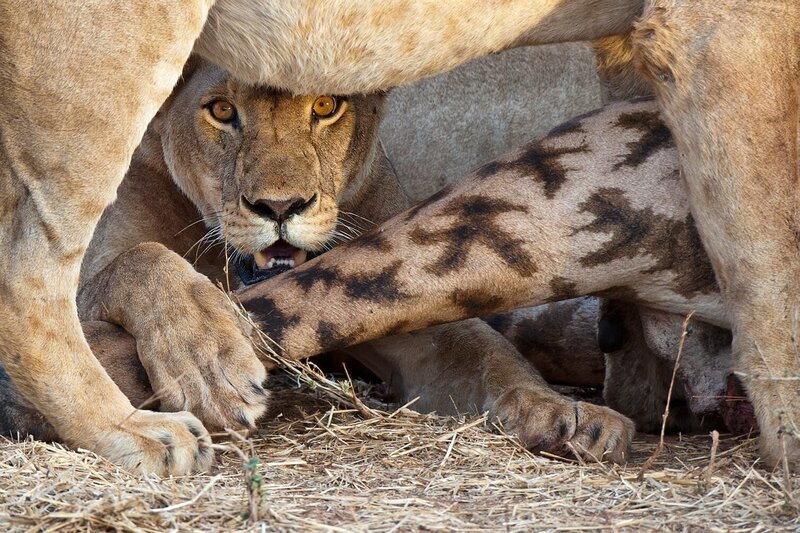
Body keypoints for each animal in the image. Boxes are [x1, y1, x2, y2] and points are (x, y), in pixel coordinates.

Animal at [2, 0, 796, 473]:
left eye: (327, 107)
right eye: (221, 111)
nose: (280, 205)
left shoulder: (405, 305)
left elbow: (484, 349)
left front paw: (563, 412)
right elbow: (139, 260)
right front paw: (205, 360)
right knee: (29, 275)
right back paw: (133, 425)